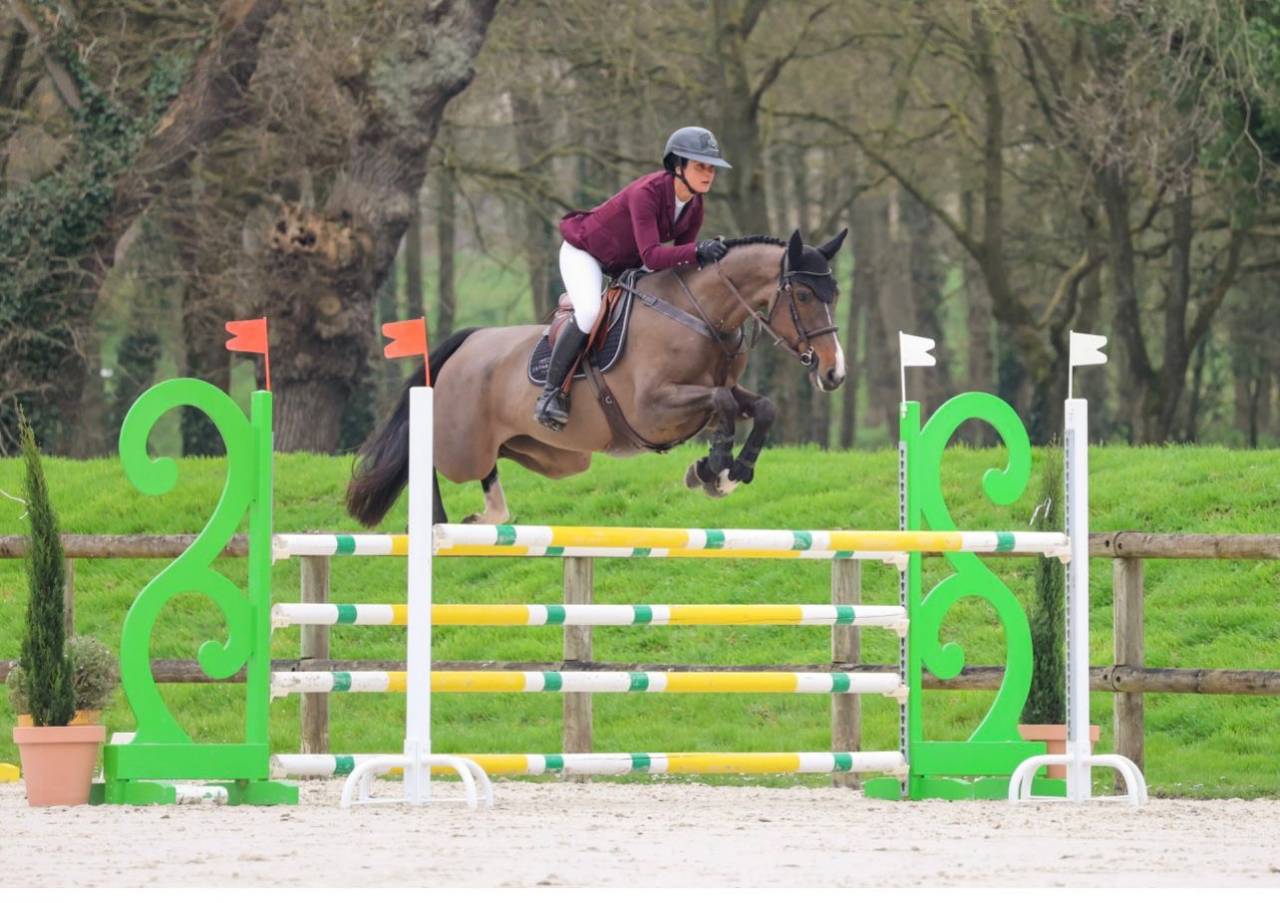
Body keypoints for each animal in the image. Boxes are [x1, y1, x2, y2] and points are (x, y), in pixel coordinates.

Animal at [346, 228, 848, 526]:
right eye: (804, 295)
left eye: (835, 293)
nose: (834, 372)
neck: (700, 315)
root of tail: (465, 345)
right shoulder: (653, 408)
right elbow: (722, 405)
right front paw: (715, 467)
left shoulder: (713, 393)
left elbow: (761, 406)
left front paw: (725, 472)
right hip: (462, 448)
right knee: (430, 457)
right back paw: (440, 523)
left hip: (554, 457)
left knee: (495, 468)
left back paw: (488, 516)